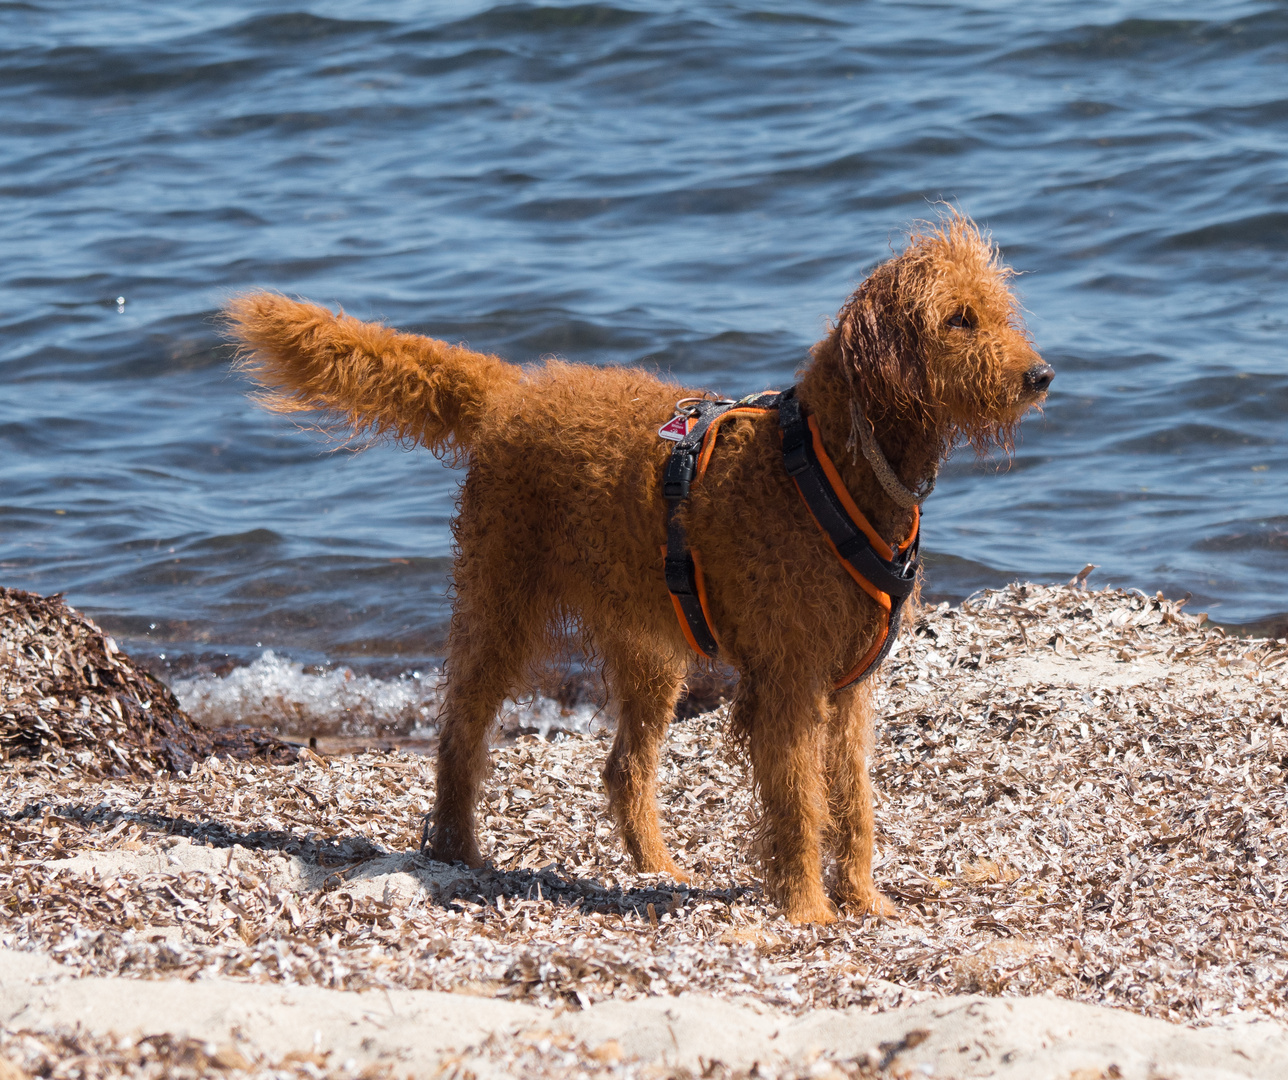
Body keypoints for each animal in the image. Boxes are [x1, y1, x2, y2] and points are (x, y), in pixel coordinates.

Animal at [226, 213, 1051, 926]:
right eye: (958, 319)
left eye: (1000, 312)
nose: (1041, 376)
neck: (822, 462)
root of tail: (513, 391)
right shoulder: (788, 684)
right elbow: (798, 801)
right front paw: (808, 910)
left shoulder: (846, 689)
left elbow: (854, 802)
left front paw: (862, 898)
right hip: (500, 609)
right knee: (459, 738)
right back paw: (460, 850)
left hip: (650, 649)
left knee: (625, 769)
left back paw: (658, 868)